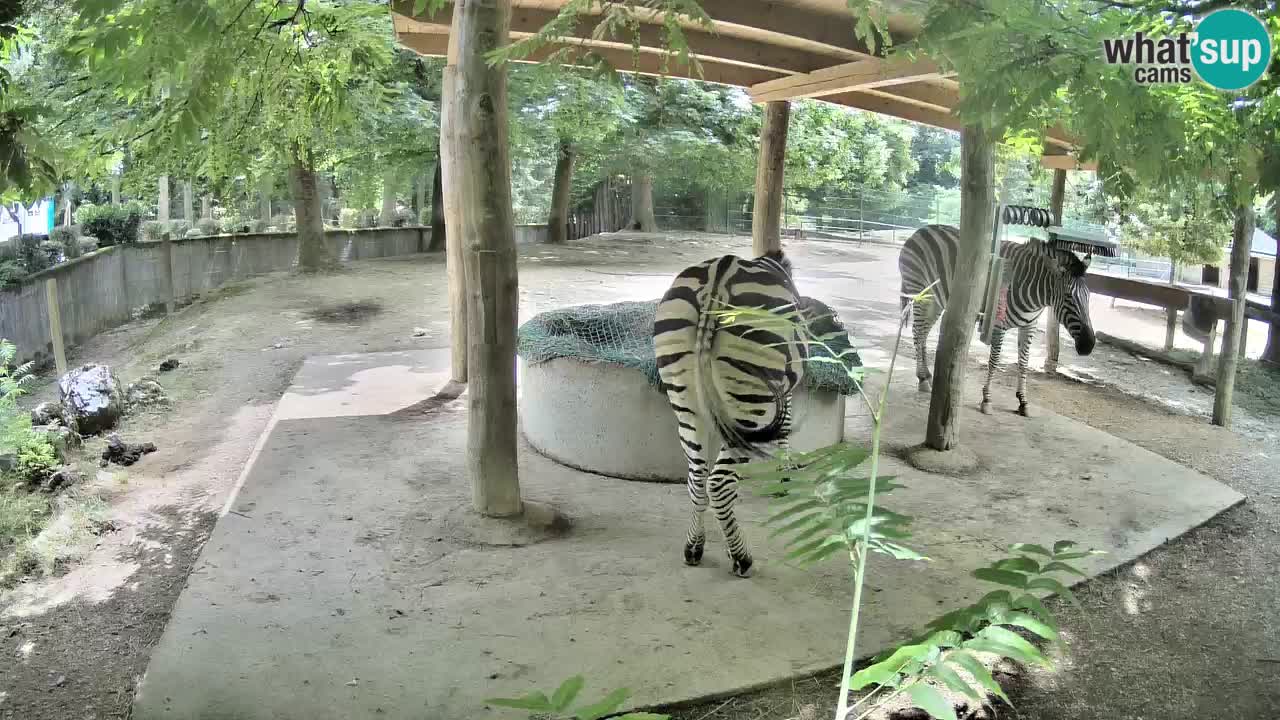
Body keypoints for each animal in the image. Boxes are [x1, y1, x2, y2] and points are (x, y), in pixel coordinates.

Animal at [653, 250, 809, 578]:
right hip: (749, 403)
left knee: (698, 477)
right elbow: (785, 427)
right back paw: (741, 558)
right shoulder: (783, 391)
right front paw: (785, 473)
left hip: (686, 402)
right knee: (719, 483)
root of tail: (719, 275)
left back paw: (695, 547)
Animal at [899, 224, 1096, 416]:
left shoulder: (1029, 326)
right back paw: (923, 378)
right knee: (918, 332)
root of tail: (920, 230)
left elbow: (1024, 363)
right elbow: (994, 360)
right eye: (1068, 297)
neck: (1033, 292)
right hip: (920, 292)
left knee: (923, 332)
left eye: (1088, 297)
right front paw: (987, 399)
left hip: (936, 300)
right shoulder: (999, 324)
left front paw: (1023, 401)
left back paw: (926, 375)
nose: (1088, 345)